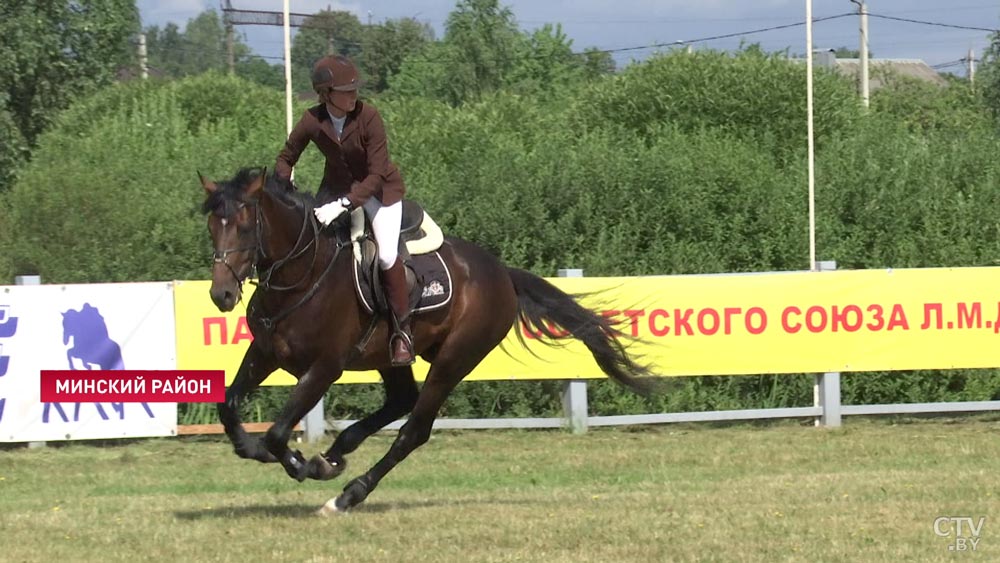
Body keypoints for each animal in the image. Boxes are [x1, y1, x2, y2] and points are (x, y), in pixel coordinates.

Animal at [200, 167, 656, 516]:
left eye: (244, 226)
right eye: (211, 227)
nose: (221, 295)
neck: (303, 275)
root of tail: (502, 273)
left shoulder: (324, 368)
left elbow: (279, 432)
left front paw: (302, 465)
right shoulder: (264, 353)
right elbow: (229, 406)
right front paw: (260, 450)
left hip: (455, 359)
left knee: (414, 430)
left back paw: (346, 494)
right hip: (391, 354)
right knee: (402, 399)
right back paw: (337, 453)